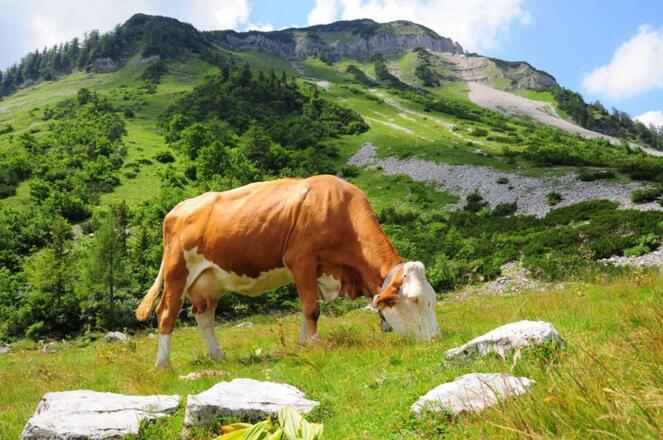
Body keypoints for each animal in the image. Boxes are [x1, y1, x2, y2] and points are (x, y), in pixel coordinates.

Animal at [135, 175, 439, 368]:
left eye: (433, 299)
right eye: (414, 299)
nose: (436, 338)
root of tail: (177, 208)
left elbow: (308, 309)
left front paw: (304, 342)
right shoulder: (301, 260)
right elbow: (311, 308)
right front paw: (315, 344)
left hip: (207, 282)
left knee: (204, 317)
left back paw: (218, 357)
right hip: (177, 272)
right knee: (166, 314)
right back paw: (162, 364)